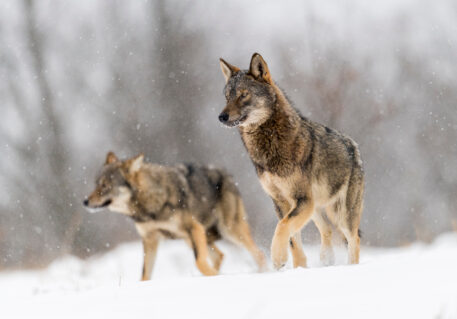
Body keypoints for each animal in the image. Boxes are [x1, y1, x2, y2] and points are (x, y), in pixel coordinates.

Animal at [83, 152, 266, 280]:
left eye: (105, 186)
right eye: (95, 184)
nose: (85, 201)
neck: (148, 207)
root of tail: (225, 172)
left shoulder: (193, 228)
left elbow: (198, 262)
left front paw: (212, 276)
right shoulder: (150, 239)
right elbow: (144, 274)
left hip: (228, 231)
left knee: (258, 254)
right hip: (192, 239)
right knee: (220, 255)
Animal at [217, 53, 364, 270]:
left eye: (243, 95)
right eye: (227, 97)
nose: (221, 116)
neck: (268, 145)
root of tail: (353, 145)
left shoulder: (301, 200)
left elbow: (283, 226)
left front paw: (278, 257)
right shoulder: (282, 202)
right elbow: (293, 239)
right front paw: (298, 267)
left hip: (340, 214)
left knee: (354, 239)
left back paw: (350, 266)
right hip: (316, 208)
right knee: (327, 230)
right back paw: (326, 259)